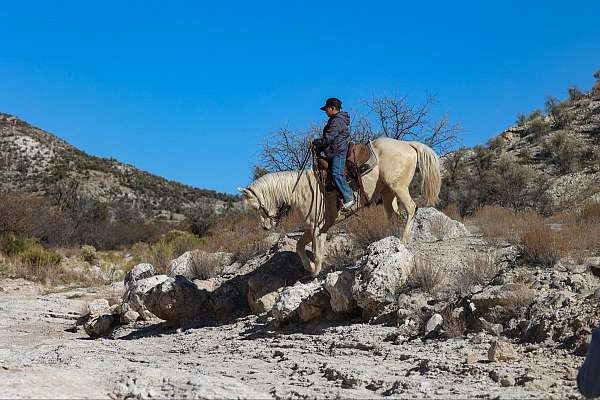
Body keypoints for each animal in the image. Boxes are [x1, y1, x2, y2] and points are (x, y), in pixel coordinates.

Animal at [238, 138, 440, 276]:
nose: (265, 227)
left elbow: (317, 253)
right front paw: (309, 268)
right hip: (388, 194)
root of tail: (407, 144)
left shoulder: (317, 228)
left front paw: (315, 273)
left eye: (256, 207)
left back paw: (404, 240)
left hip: (398, 187)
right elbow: (299, 246)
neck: (302, 190)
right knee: (395, 216)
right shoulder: (314, 228)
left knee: (412, 209)